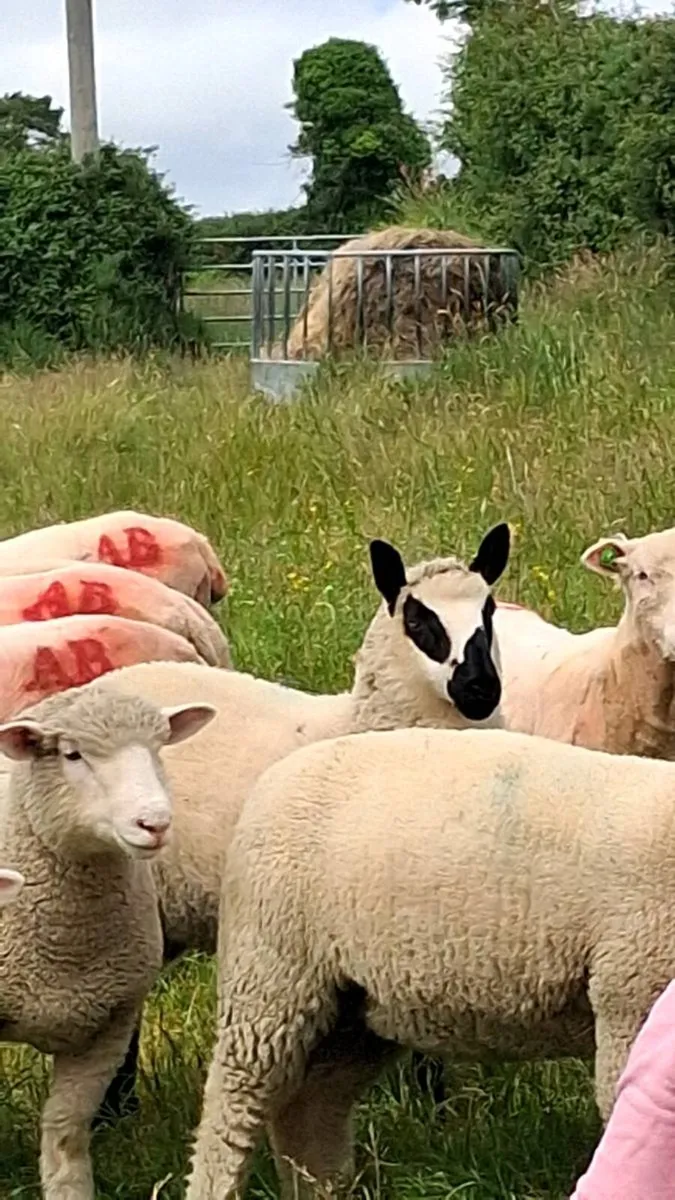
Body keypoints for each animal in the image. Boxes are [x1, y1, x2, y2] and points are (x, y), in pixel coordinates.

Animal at [89, 522, 511, 1120]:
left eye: (490, 609)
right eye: (417, 620)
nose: (481, 689)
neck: (358, 722)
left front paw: (434, 1106)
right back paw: (113, 1111)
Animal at [185, 723, 675, 1200]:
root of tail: (271, 779)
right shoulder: (631, 995)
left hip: (355, 1006)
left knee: (312, 1104)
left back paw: (322, 1189)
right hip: (271, 971)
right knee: (233, 1105)